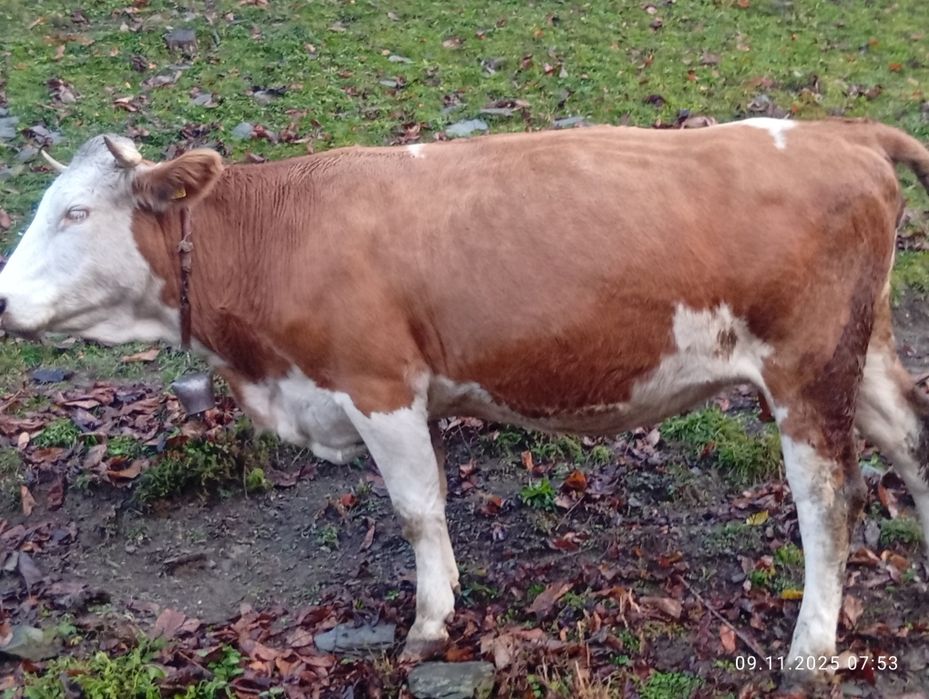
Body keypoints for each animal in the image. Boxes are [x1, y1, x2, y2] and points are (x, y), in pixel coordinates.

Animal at [1, 118, 928, 681]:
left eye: (75, 212)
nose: (1, 299)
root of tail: (836, 130)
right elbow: (432, 503)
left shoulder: (378, 385)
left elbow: (417, 509)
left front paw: (429, 622)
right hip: (861, 354)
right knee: (912, 437)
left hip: (806, 371)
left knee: (829, 501)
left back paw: (809, 648)